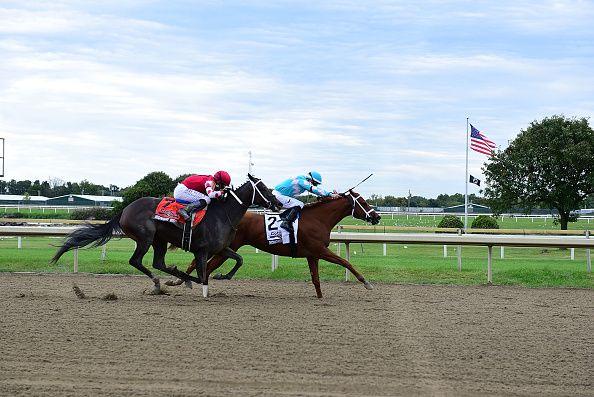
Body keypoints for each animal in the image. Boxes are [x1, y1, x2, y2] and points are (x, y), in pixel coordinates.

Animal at [52, 174, 280, 296]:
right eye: (264, 187)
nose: (277, 203)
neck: (222, 214)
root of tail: (125, 209)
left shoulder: (222, 248)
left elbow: (239, 260)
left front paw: (222, 276)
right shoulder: (202, 250)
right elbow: (202, 274)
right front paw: (202, 287)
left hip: (159, 240)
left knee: (158, 263)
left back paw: (169, 281)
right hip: (145, 238)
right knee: (136, 261)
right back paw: (162, 282)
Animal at [166, 189, 380, 296]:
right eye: (363, 202)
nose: (377, 216)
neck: (318, 219)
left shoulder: (312, 255)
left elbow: (316, 279)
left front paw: (320, 298)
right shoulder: (320, 250)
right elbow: (346, 262)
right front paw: (366, 283)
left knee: (200, 264)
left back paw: (179, 280)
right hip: (225, 248)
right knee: (206, 266)